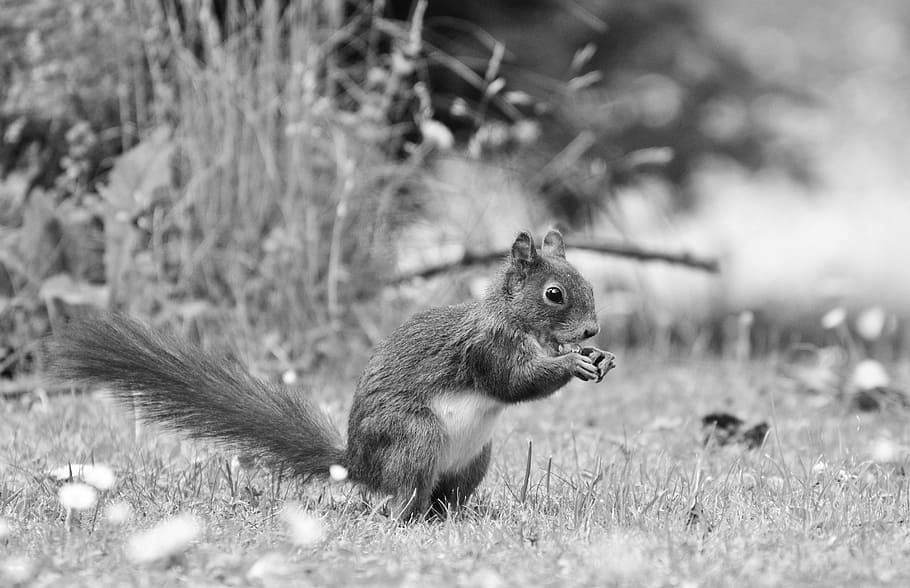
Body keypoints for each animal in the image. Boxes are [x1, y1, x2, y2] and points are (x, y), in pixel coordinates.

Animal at [46, 229, 615, 520]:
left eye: (589, 284)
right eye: (554, 294)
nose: (591, 330)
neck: (517, 322)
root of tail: (360, 465)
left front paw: (599, 358)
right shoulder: (487, 348)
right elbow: (512, 383)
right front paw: (571, 363)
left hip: (475, 457)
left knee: (444, 498)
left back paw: (460, 517)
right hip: (415, 437)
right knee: (404, 498)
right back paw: (406, 517)